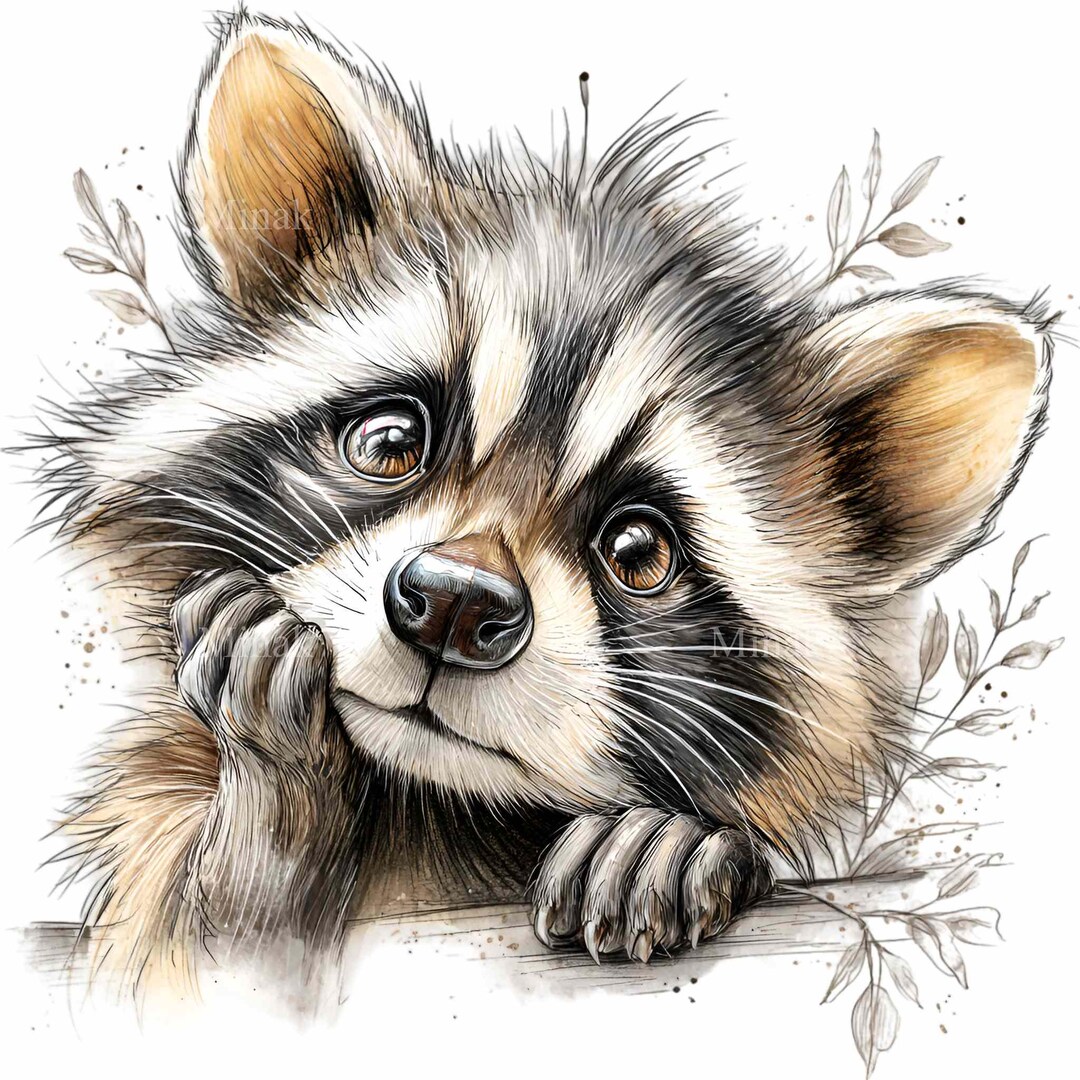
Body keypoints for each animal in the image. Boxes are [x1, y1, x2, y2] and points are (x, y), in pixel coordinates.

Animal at [36, 10, 1051, 994]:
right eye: (391, 443)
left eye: (638, 550)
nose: (455, 602)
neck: (429, 799)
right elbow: (206, 938)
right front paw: (273, 785)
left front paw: (679, 841)